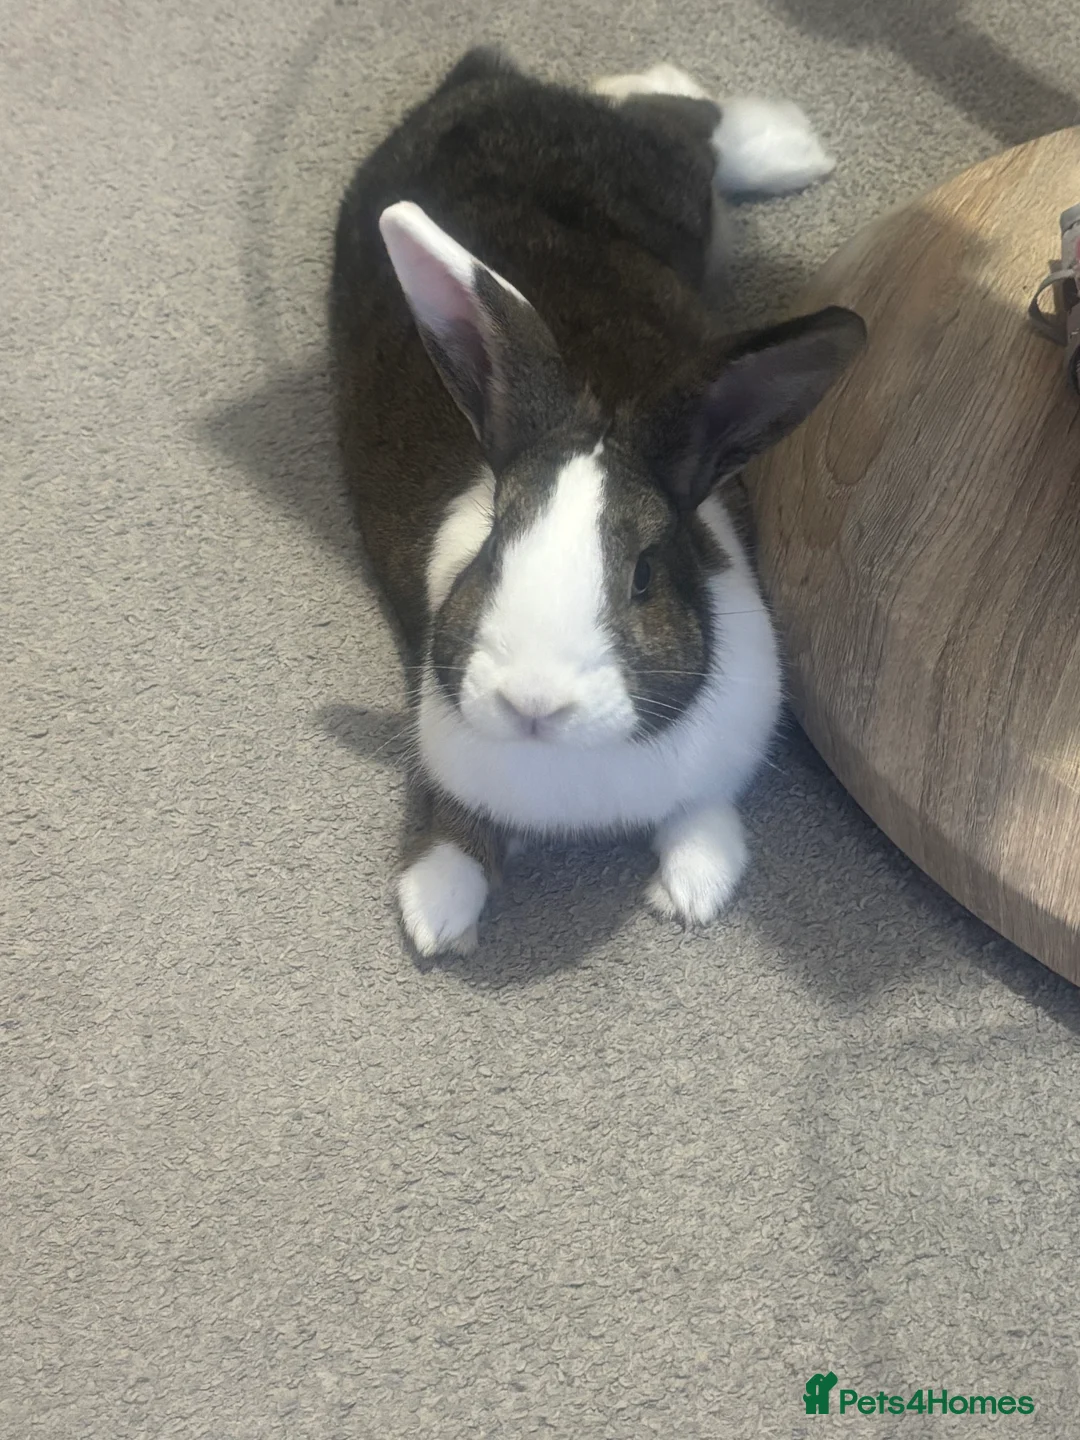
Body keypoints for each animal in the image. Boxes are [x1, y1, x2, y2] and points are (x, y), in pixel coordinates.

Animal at [329, 47, 865, 957]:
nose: (533, 704)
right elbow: (453, 822)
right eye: (493, 550)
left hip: (669, 187)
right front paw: (438, 909)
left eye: (644, 575)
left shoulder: (726, 751)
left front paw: (693, 891)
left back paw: (790, 147)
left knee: (689, 122)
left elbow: (704, 815)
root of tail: (482, 80)